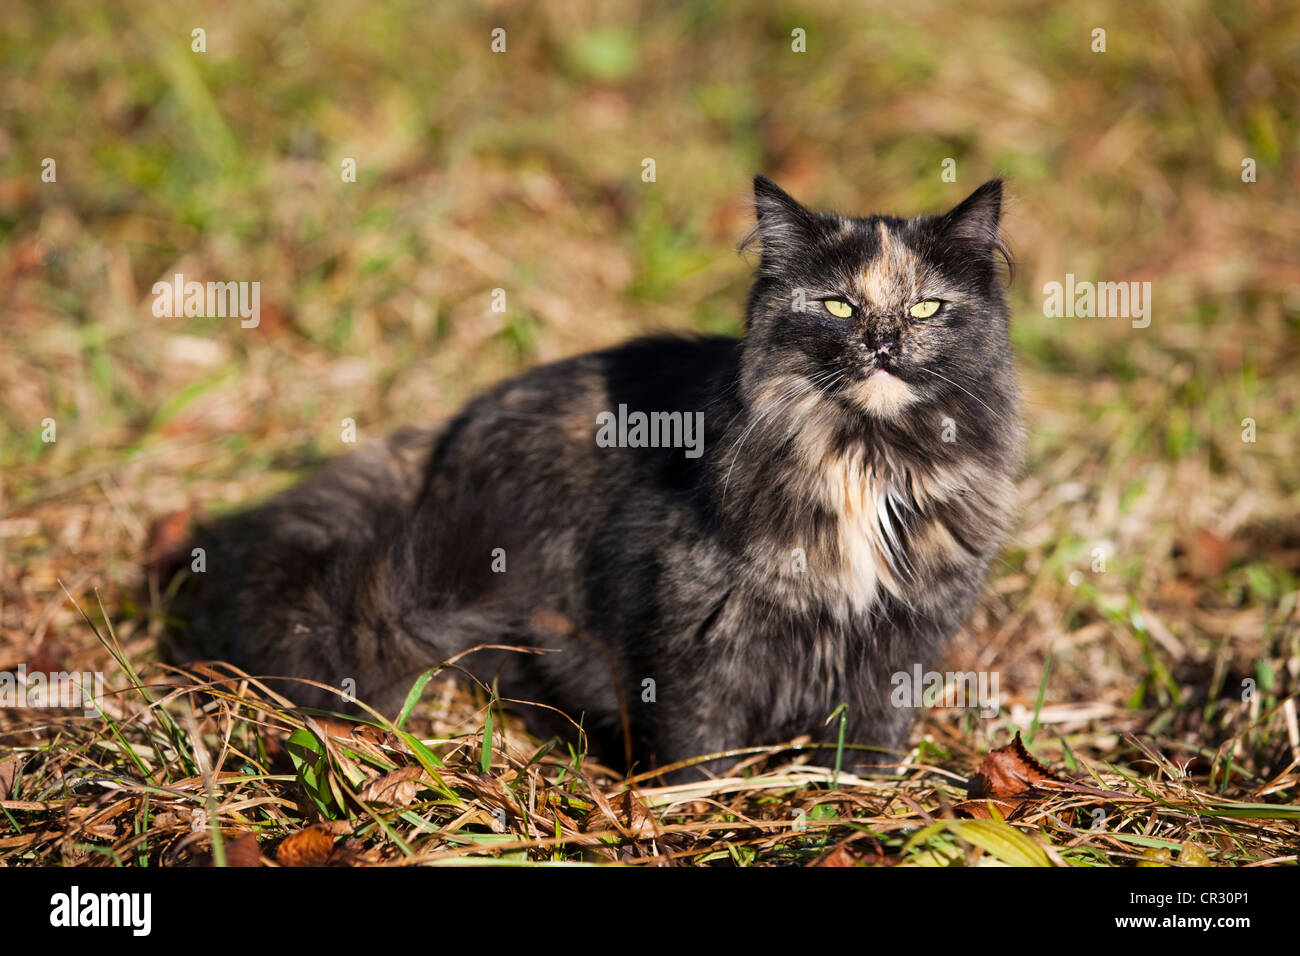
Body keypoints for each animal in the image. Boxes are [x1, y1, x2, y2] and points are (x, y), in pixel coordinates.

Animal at [162, 178, 1019, 780]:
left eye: (927, 308)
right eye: (838, 307)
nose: (881, 345)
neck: (865, 461)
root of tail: (445, 443)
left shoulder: (905, 633)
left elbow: (872, 734)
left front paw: (860, 797)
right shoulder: (700, 627)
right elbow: (701, 742)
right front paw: (703, 805)